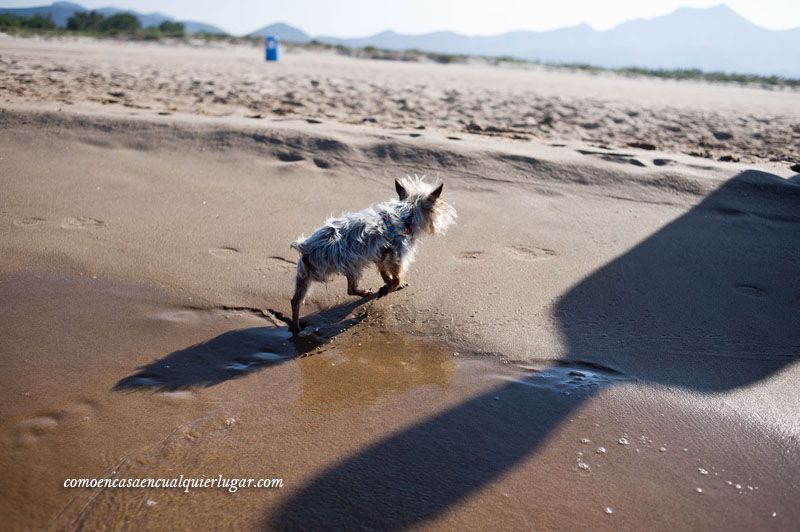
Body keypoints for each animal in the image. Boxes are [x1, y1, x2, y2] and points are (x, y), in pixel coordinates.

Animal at [292, 177, 456, 330]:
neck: (404, 215)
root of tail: (306, 247)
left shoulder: (381, 254)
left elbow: (385, 272)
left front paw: (388, 283)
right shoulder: (397, 255)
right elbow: (397, 277)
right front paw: (392, 286)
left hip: (305, 275)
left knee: (296, 300)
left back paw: (296, 326)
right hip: (353, 266)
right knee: (350, 289)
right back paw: (365, 293)